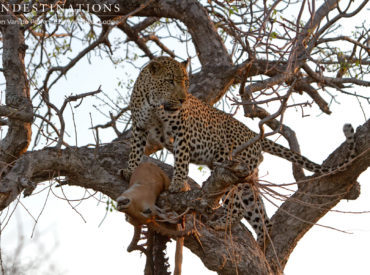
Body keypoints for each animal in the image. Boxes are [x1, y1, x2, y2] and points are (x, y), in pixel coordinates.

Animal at [123, 55, 356, 246]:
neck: (154, 103)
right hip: (246, 174)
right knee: (257, 210)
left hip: (231, 165)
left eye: (186, 83)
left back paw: (222, 223)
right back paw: (262, 242)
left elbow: (181, 158)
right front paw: (130, 169)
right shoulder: (139, 126)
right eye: (170, 81)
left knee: (237, 204)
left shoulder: (182, 130)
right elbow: (135, 149)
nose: (183, 99)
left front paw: (179, 184)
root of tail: (253, 134)